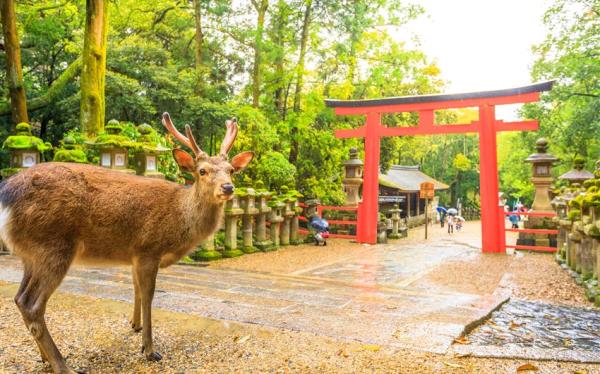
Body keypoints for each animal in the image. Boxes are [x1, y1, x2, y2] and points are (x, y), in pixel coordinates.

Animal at [0, 113, 253, 374]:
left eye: (231, 170)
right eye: (202, 171)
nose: (228, 187)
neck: (179, 221)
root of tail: (5, 195)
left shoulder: (134, 254)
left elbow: (136, 289)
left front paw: (135, 325)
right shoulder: (148, 248)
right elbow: (149, 295)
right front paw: (149, 350)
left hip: (31, 254)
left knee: (19, 299)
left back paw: (44, 358)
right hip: (54, 246)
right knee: (32, 304)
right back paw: (63, 365)